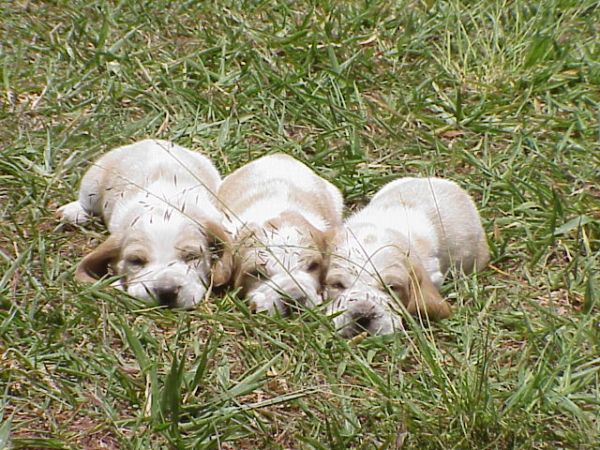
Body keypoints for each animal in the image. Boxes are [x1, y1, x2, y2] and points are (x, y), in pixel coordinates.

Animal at [56, 139, 231, 308]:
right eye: (136, 261)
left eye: (192, 256)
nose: (166, 291)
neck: (164, 206)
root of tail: (150, 140)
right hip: (93, 183)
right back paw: (73, 212)